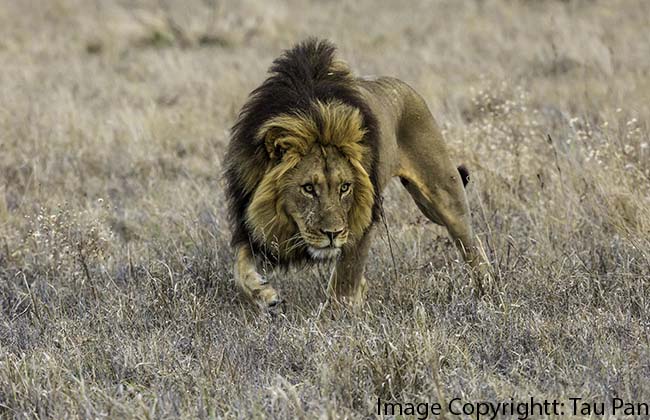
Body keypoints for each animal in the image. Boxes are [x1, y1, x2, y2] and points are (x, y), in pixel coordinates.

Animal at [223, 38, 486, 308]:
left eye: (345, 187)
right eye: (308, 188)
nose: (332, 234)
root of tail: (404, 86)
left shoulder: (362, 219)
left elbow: (345, 279)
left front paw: (336, 314)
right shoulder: (251, 222)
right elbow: (239, 269)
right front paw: (264, 294)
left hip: (443, 195)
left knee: (472, 245)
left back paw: (486, 290)